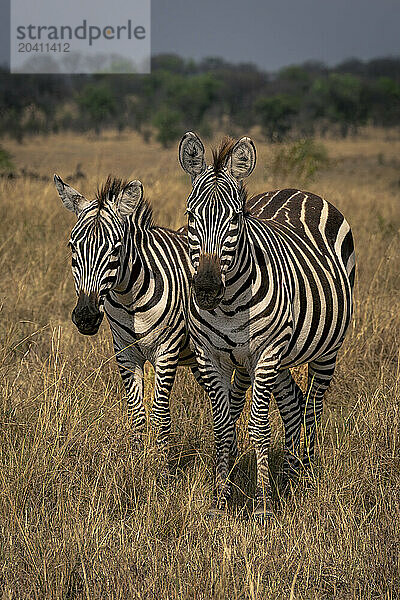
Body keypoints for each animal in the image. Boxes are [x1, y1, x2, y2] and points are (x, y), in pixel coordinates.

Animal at [54, 173, 268, 454]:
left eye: (115, 249)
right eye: (72, 247)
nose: (85, 317)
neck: (129, 298)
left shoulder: (166, 351)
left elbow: (160, 413)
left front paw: (160, 462)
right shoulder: (125, 352)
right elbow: (136, 412)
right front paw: (136, 459)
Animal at [180, 134, 354, 516]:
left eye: (236, 217)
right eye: (190, 216)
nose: (206, 288)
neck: (229, 306)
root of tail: (298, 190)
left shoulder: (266, 352)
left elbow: (258, 428)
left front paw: (262, 504)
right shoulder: (209, 356)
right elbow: (222, 427)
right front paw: (220, 498)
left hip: (325, 350)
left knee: (313, 406)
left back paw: (307, 476)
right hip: (279, 356)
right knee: (292, 404)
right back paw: (288, 476)